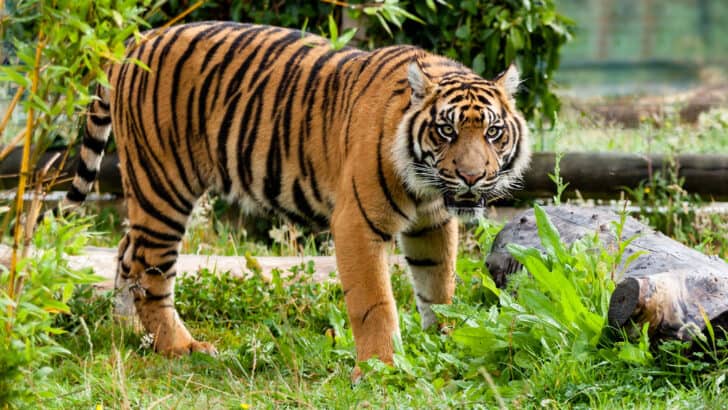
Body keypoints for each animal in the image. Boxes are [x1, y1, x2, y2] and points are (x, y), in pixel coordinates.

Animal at [65, 21, 531, 376]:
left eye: (493, 132)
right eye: (446, 131)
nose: (471, 177)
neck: (425, 183)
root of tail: (137, 41)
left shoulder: (432, 222)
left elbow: (439, 287)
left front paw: (447, 343)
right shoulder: (357, 223)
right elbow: (375, 303)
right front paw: (380, 368)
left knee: (127, 252)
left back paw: (129, 331)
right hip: (163, 183)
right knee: (149, 265)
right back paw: (178, 345)